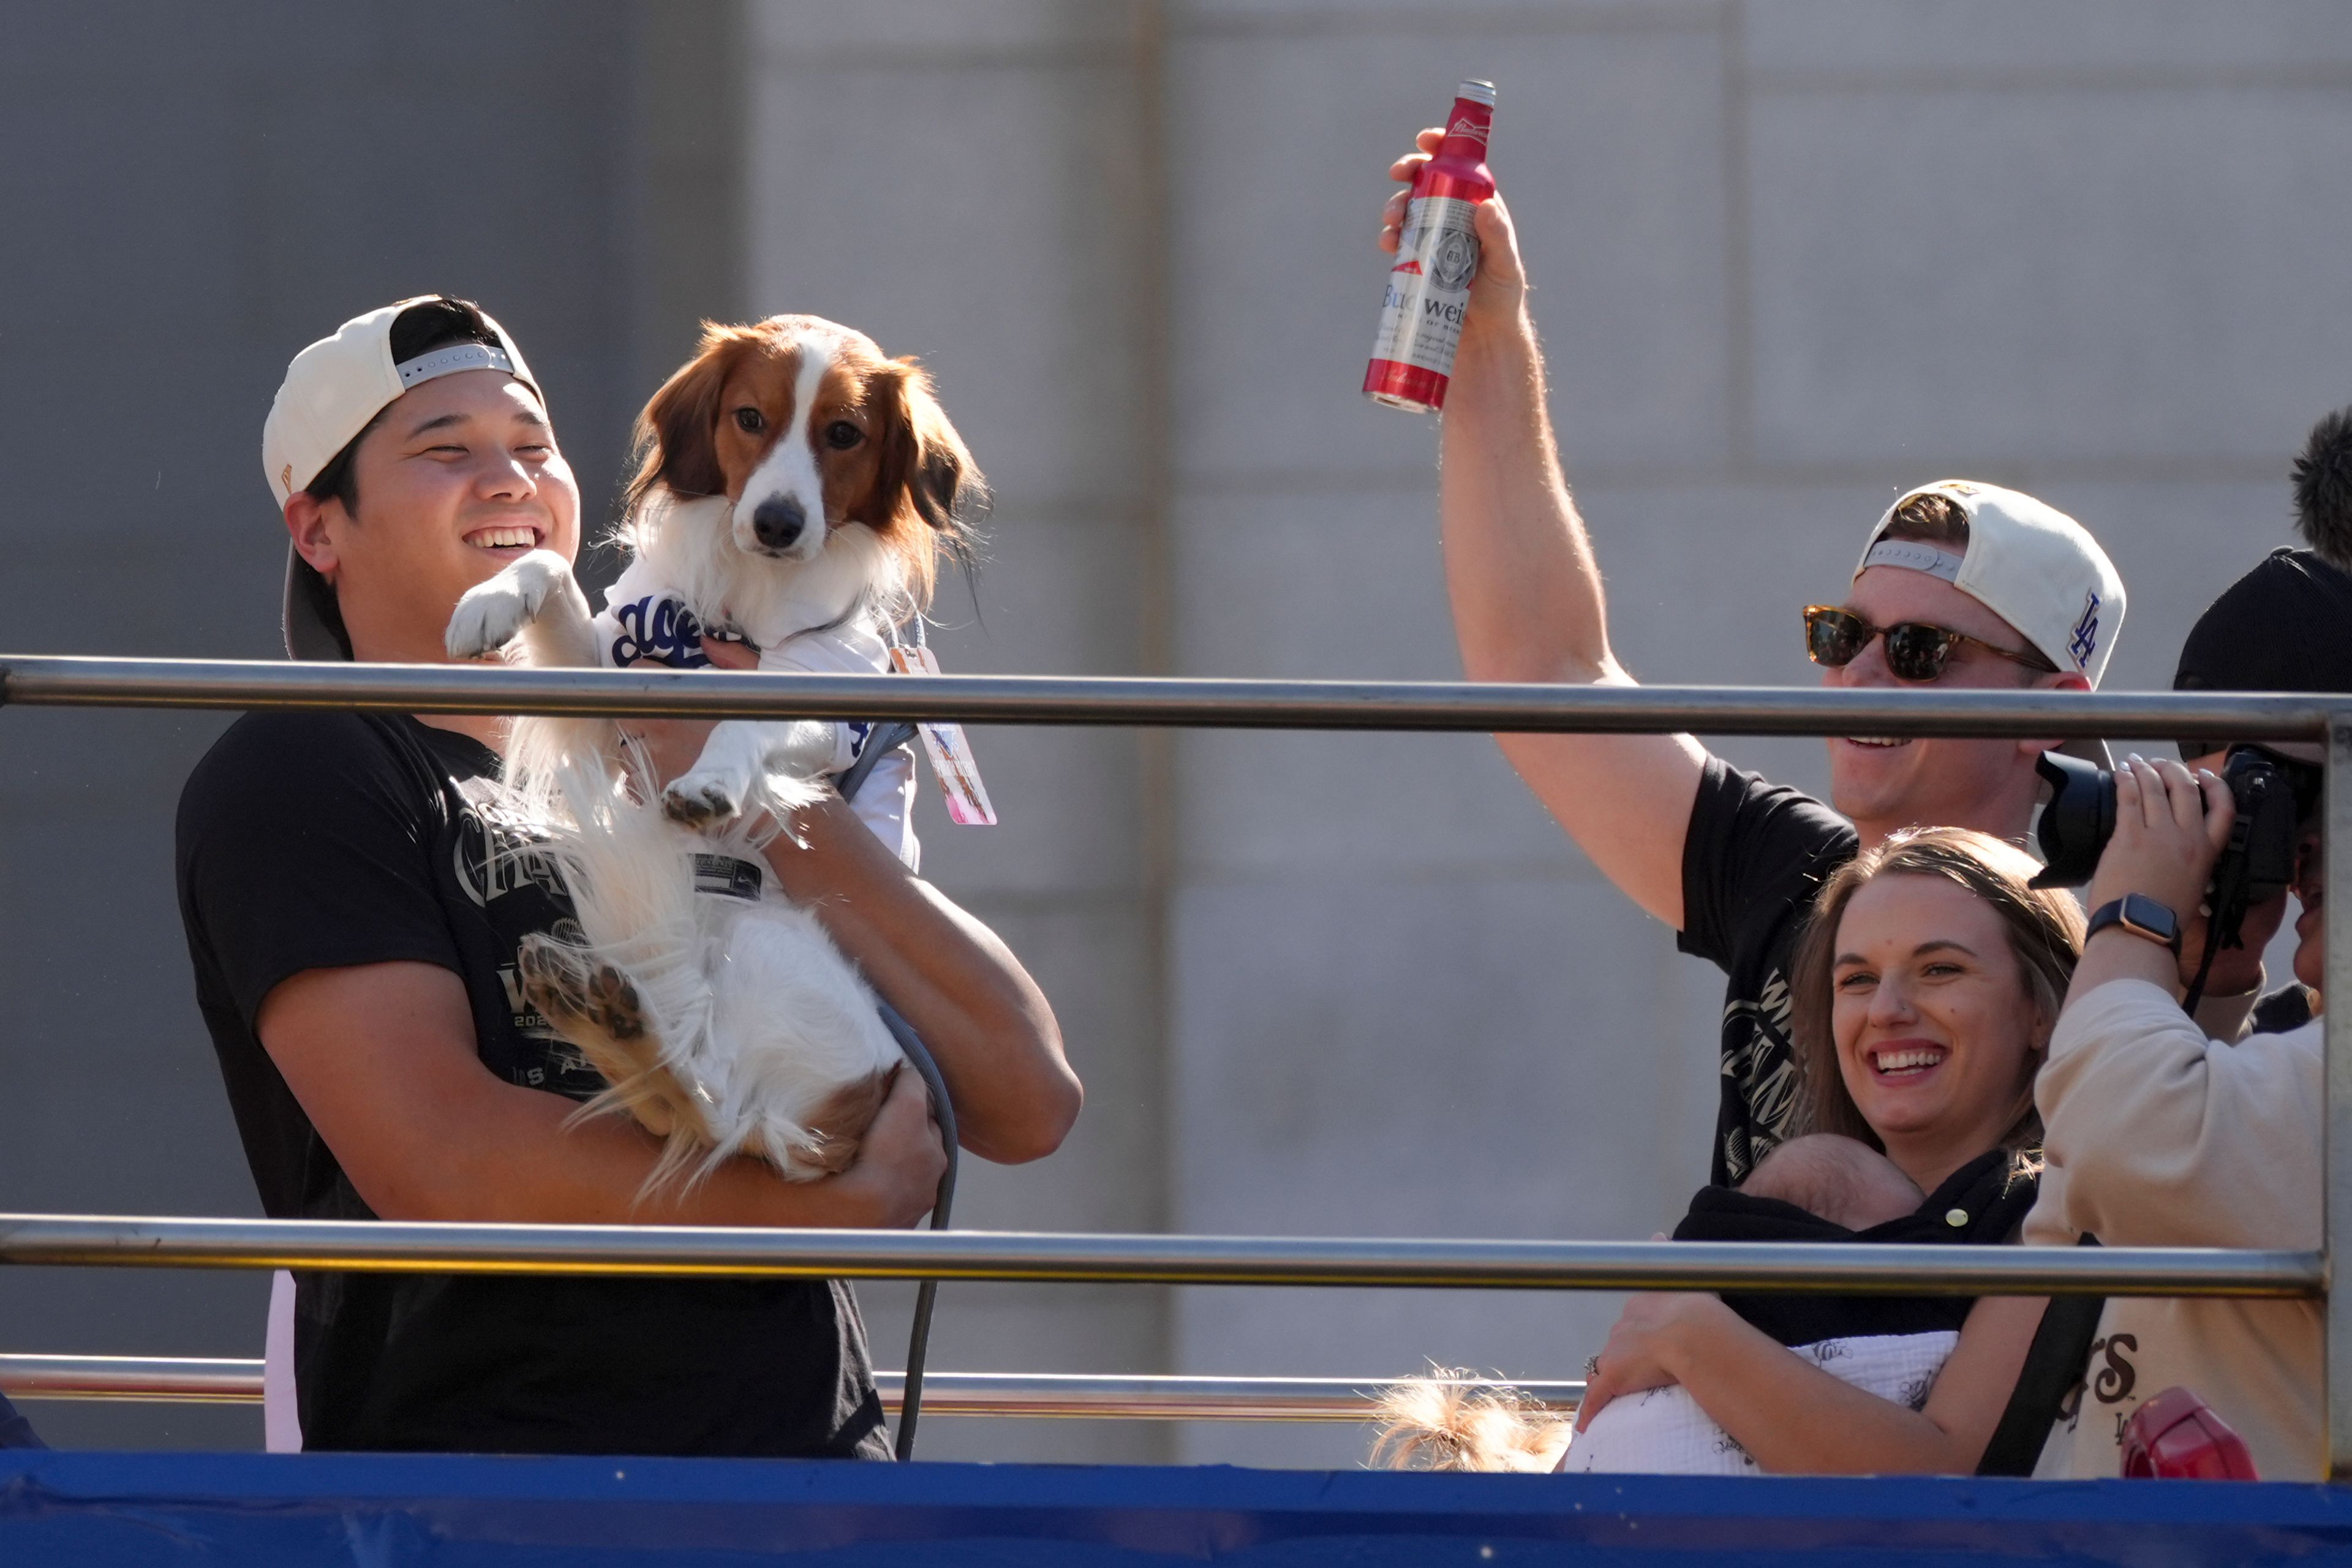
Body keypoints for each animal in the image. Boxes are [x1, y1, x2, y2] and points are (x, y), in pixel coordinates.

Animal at [442, 319, 983, 1189]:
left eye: (844, 434)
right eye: (750, 418)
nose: (777, 523)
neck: (749, 601)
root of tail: (837, 1120)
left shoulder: (823, 697)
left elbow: (744, 721)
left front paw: (711, 783)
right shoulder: (609, 688)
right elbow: (549, 565)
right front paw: (489, 599)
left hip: (770, 954)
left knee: (714, 1105)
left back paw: (619, 1025)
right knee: (687, 1107)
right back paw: (601, 1014)